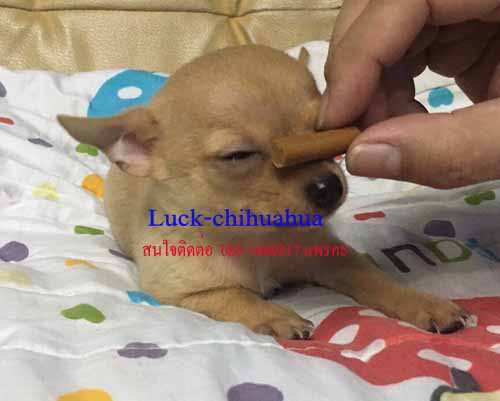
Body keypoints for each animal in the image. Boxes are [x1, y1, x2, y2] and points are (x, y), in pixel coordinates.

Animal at [58, 45, 468, 339]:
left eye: (323, 132)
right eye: (238, 156)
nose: (329, 186)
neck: (255, 238)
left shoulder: (332, 258)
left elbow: (372, 277)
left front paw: (421, 302)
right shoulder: (182, 293)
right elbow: (236, 296)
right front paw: (277, 316)